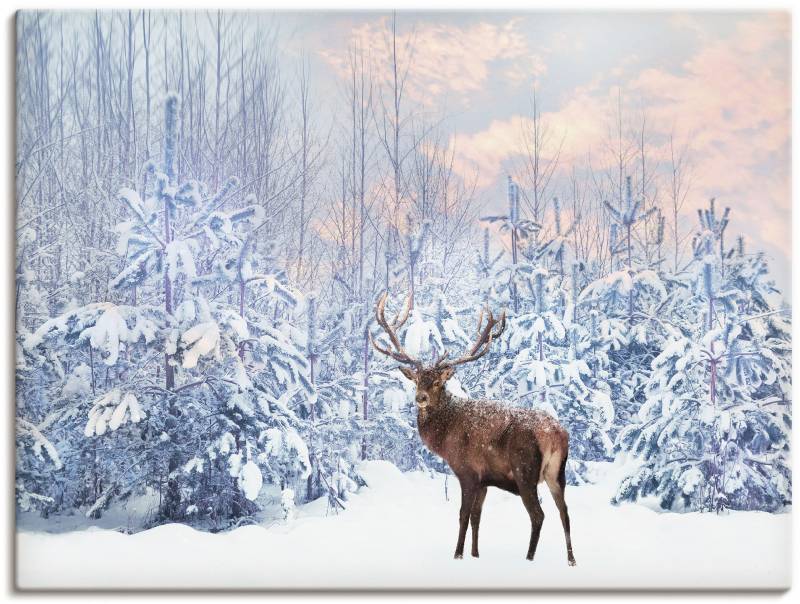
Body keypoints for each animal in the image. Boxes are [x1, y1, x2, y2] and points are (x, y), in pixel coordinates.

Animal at [369, 292, 576, 565]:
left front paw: (457, 555)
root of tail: (556, 434)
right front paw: (476, 555)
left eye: (437, 382)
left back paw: (529, 558)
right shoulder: (485, 480)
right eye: (417, 380)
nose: (420, 398)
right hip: (557, 474)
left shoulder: (467, 471)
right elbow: (477, 517)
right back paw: (571, 560)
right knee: (565, 513)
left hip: (525, 471)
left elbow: (463, 515)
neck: (444, 439)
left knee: (538, 515)